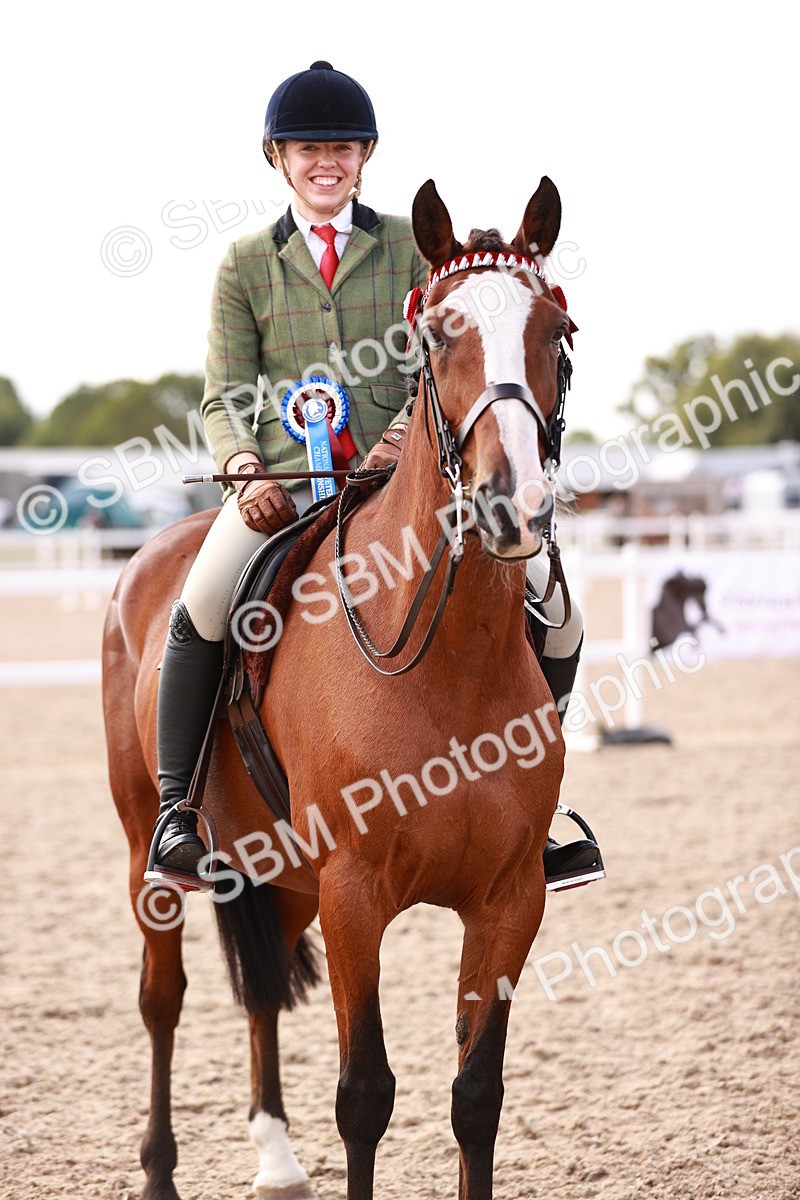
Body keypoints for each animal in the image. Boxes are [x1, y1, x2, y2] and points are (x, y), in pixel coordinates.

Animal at [102, 174, 576, 1200]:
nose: (512, 504)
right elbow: (366, 1094)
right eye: (432, 336)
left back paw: (277, 1160)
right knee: (163, 1000)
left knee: (261, 989)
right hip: (149, 855)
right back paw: (160, 1171)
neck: (447, 662)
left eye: (558, 331)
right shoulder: (354, 897)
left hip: (275, 868)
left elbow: (477, 1095)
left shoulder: (510, 900)